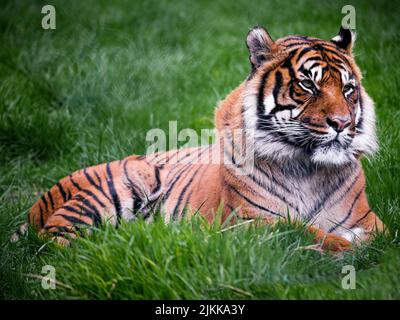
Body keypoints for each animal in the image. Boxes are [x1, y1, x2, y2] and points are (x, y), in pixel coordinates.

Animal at [14, 25, 384, 251]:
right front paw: (343, 247)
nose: (341, 123)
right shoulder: (251, 223)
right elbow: (311, 232)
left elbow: (379, 237)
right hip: (116, 190)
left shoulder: (368, 219)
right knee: (58, 240)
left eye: (348, 89)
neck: (308, 169)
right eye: (307, 84)